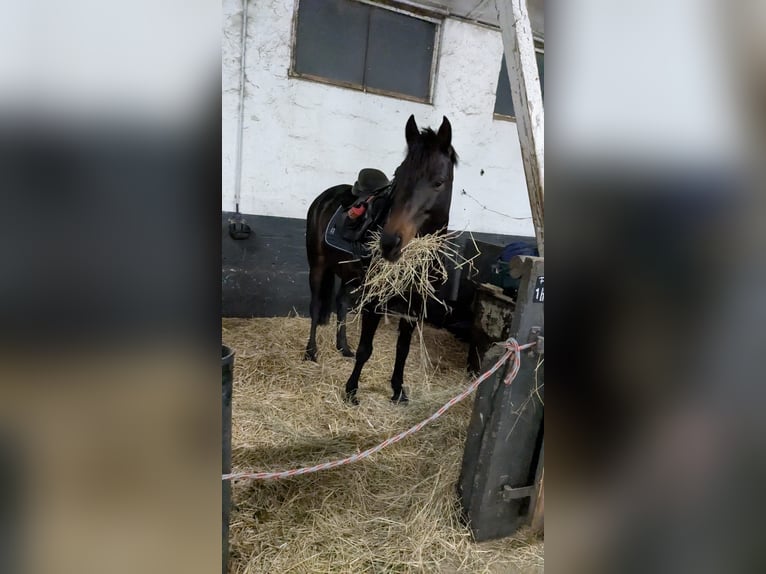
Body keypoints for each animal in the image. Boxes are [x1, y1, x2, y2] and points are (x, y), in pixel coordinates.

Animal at [304, 116, 456, 404]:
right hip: (317, 266)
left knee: (341, 303)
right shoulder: (375, 300)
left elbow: (403, 350)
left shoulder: (414, 305)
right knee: (316, 306)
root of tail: (325, 196)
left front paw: (398, 391)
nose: (389, 242)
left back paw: (343, 347)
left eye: (439, 182)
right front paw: (351, 390)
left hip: (348, 274)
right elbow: (366, 348)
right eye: (399, 175)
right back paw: (310, 352)